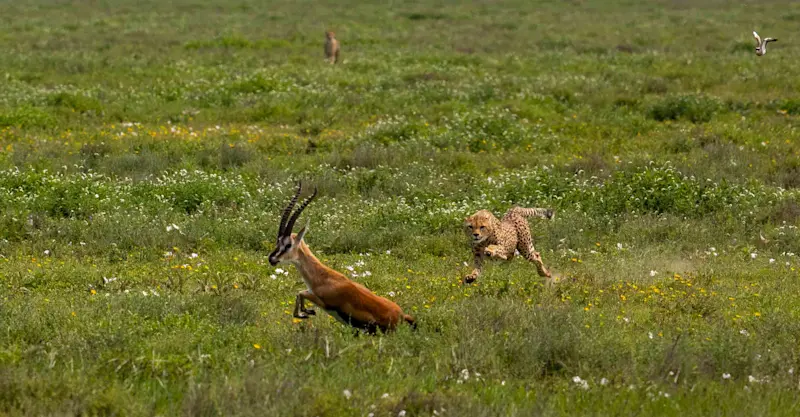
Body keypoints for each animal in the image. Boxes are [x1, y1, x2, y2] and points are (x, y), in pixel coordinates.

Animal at [268, 183, 416, 334]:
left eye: (288, 245)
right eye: (277, 242)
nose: (271, 259)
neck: (323, 277)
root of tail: (401, 315)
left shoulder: (323, 301)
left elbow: (300, 292)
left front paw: (305, 312)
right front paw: (305, 312)